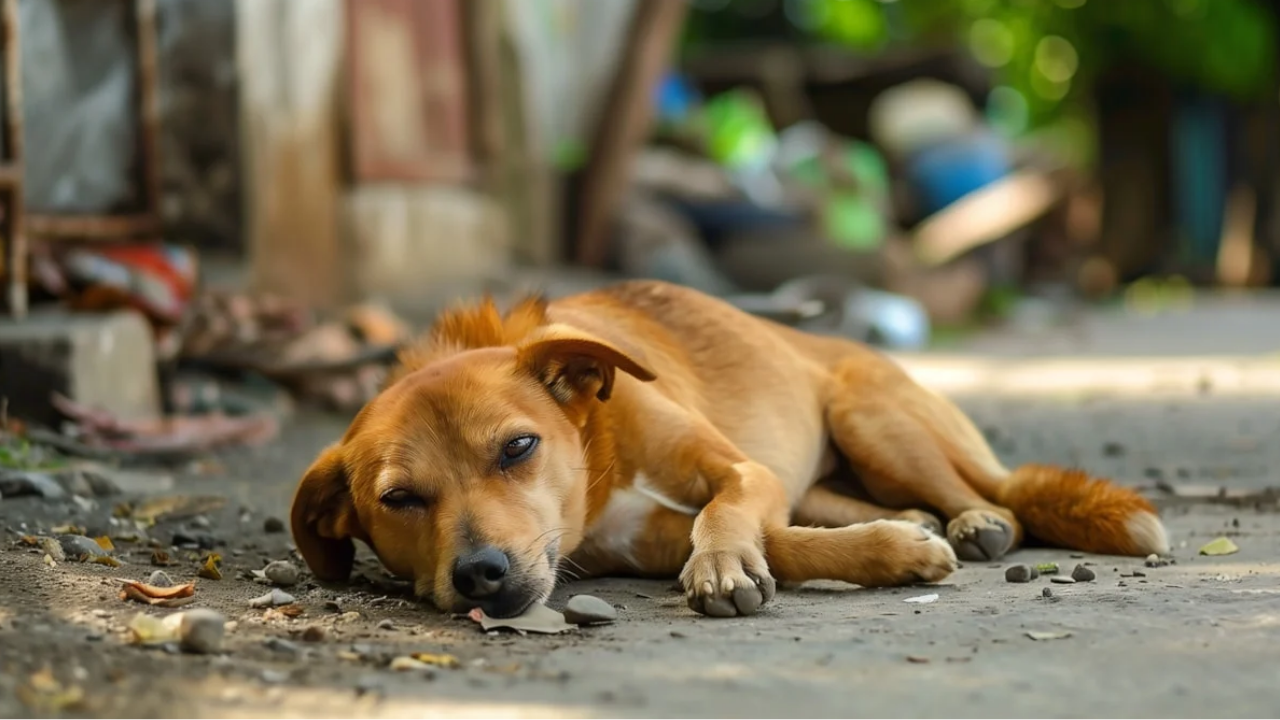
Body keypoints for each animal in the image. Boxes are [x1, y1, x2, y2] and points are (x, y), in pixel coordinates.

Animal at [290, 280, 1172, 617]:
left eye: (517, 448)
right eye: (399, 500)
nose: (481, 574)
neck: (599, 451)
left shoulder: (740, 472)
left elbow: (728, 514)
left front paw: (720, 566)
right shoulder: (641, 541)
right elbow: (784, 542)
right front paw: (893, 550)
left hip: (872, 418)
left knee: (998, 498)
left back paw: (973, 521)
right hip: (831, 470)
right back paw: (920, 522)